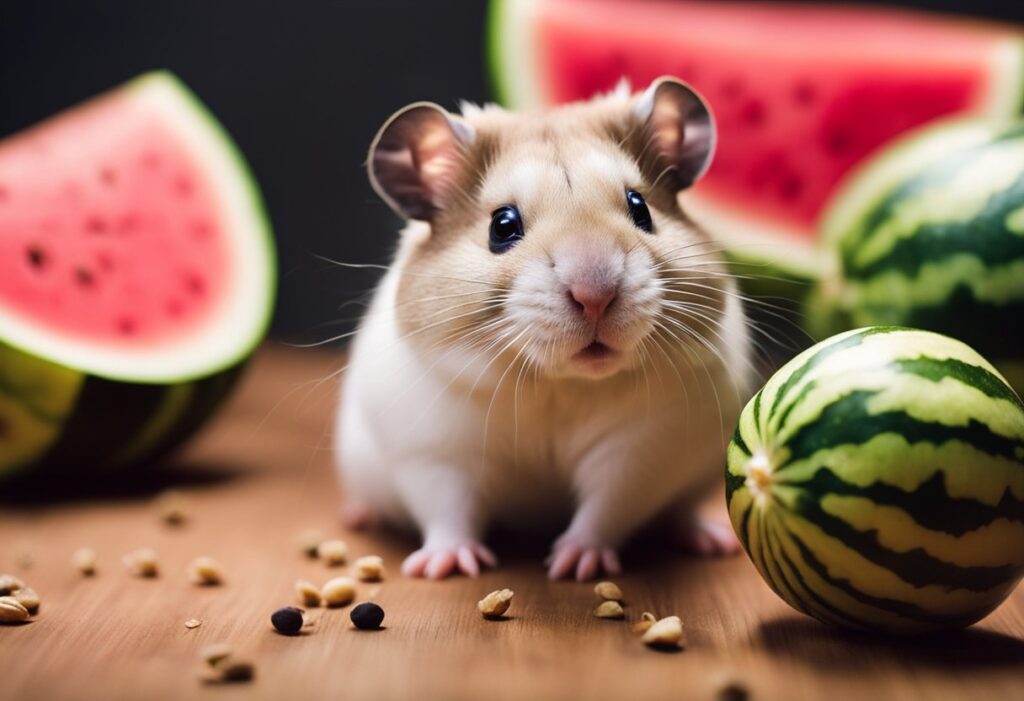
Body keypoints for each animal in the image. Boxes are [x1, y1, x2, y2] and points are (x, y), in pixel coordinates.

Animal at [335, 77, 754, 581]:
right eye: (502, 226)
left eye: (641, 208)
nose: (594, 295)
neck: (559, 383)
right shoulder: (436, 455)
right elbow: (450, 511)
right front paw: (444, 567)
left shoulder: (640, 453)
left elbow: (607, 509)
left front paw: (573, 566)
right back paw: (358, 516)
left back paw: (708, 539)